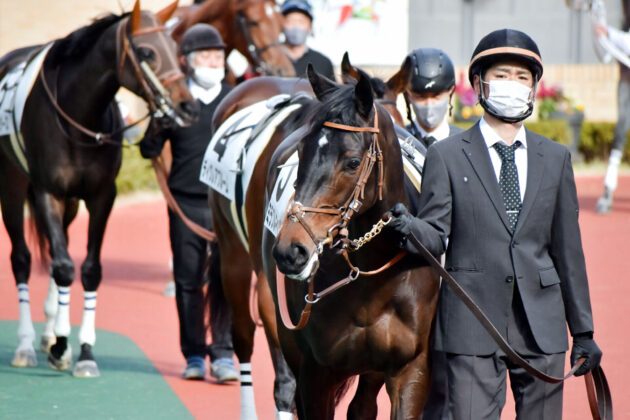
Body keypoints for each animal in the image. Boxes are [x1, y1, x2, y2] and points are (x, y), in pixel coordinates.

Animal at [0, 0, 196, 378]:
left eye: (175, 48)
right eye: (147, 52)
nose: (187, 106)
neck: (79, 117)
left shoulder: (102, 196)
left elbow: (89, 270)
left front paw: (83, 352)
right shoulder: (47, 192)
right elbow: (63, 266)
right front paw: (62, 345)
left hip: (71, 204)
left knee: (57, 247)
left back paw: (48, 332)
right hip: (13, 188)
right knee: (22, 259)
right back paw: (26, 345)